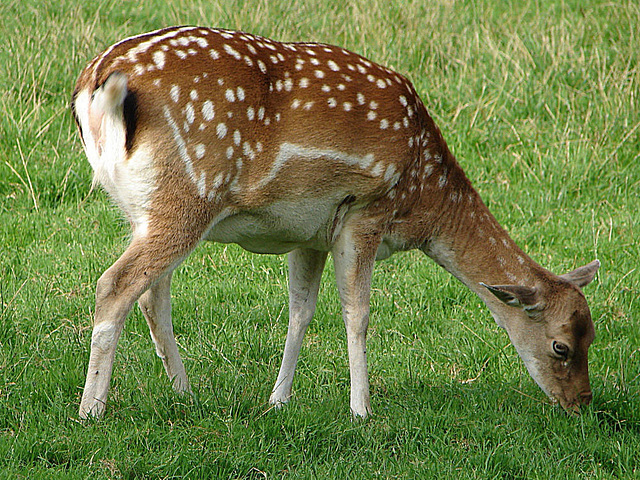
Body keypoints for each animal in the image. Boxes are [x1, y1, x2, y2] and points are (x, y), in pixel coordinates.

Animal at [71, 26, 600, 418]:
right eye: (561, 347)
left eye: (593, 335)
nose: (581, 403)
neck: (424, 198)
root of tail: (98, 86)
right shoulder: (366, 211)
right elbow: (358, 312)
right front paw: (361, 410)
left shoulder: (310, 233)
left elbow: (300, 310)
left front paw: (278, 400)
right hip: (188, 196)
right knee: (115, 284)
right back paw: (91, 410)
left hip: (144, 207)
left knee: (152, 293)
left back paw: (186, 392)